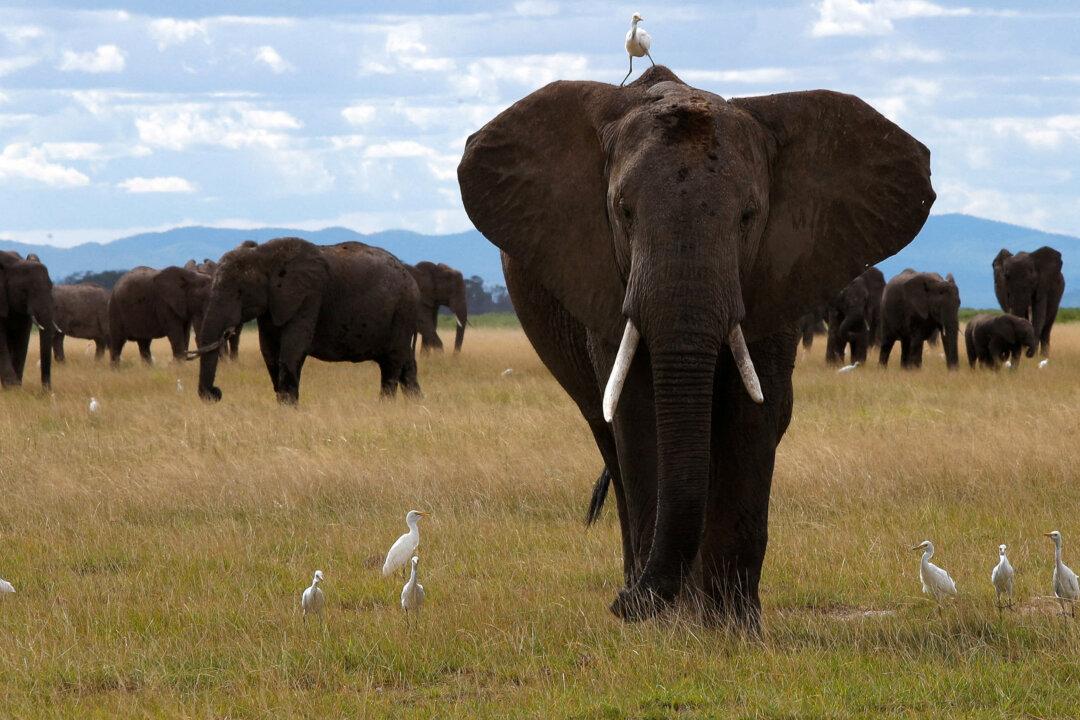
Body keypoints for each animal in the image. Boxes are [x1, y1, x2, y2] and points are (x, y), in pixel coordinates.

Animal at [0, 251, 55, 389]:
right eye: (24, 291)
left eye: (51, 286)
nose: (46, 391)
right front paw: (12, 387)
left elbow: (22, 338)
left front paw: (16, 388)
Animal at [191, 237, 422, 404]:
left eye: (239, 292)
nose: (216, 393)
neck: (264, 255)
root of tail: (409, 275)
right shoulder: (272, 306)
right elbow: (270, 354)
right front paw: (283, 406)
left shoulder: (308, 296)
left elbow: (292, 351)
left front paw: (289, 408)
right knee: (406, 364)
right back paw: (416, 405)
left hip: (402, 310)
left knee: (392, 363)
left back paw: (386, 406)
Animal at [457, 65, 934, 626]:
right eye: (623, 212)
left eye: (748, 216)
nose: (620, 605)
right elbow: (640, 414)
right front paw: (666, 625)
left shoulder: (778, 273)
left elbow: (752, 414)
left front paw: (733, 627)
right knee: (608, 435)